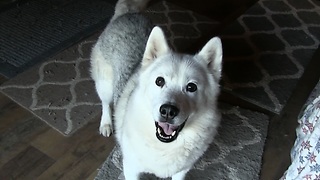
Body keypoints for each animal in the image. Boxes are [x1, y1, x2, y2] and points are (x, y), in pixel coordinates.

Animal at [90, 0, 222, 179]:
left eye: (191, 87)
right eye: (159, 81)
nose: (168, 111)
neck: (163, 145)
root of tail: (127, 14)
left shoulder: (181, 172)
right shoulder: (131, 168)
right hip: (105, 85)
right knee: (105, 103)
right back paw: (106, 123)